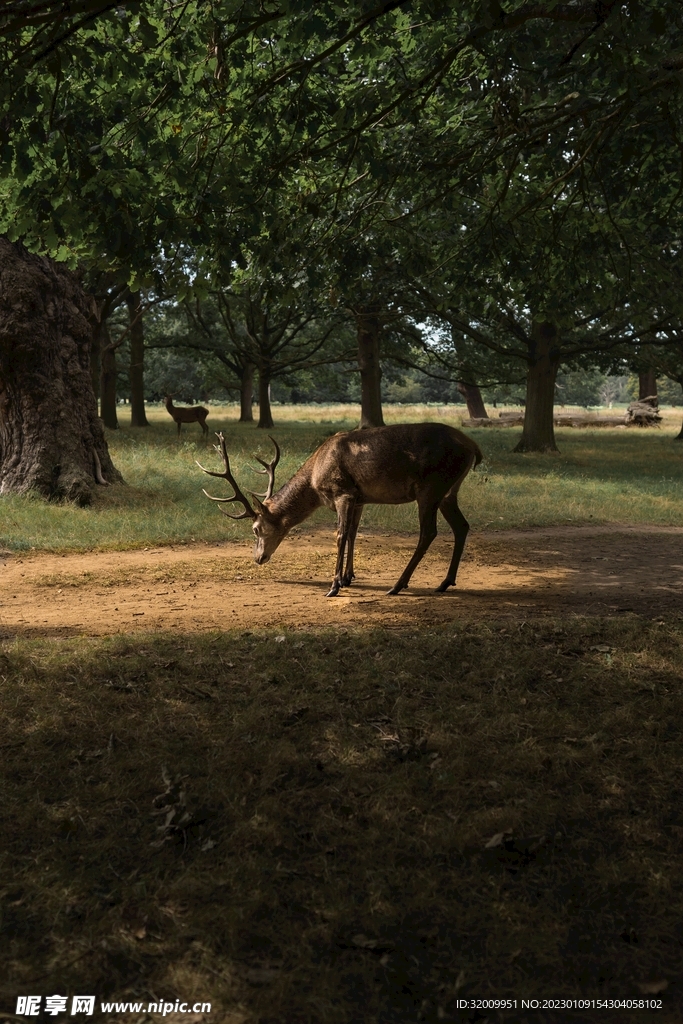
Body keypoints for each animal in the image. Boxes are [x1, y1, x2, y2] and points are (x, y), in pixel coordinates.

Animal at [197, 423, 482, 597]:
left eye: (255, 529)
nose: (258, 558)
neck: (315, 480)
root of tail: (473, 446)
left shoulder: (342, 492)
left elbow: (340, 536)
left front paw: (334, 585)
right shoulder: (359, 499)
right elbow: (354, 534)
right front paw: (348, 577)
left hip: (431, 487)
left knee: (429, 532)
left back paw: (398, 585)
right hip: (448, 492)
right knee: (462, 526)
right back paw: (444, 582)